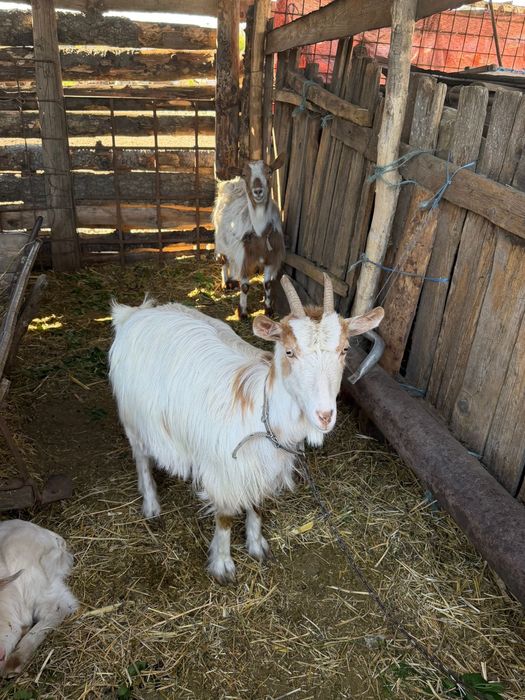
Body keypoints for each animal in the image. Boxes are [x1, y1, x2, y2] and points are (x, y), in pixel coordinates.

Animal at [108, 275, 384, 583]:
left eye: (344, 349)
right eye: (289, 352)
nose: (324, 416)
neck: (262, 415)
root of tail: (134, 313)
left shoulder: (265, 468)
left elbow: (258, 504)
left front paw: (256, 545)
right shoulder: (223, 473)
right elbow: (225, 517)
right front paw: (223, 565)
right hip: (133, 417)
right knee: (141, 458)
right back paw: (152, 506)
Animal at [213, 154, 286, 319]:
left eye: (269, 171)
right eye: (245, 174)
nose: (258, 191)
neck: (259, 233)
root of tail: (233, 183)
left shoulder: (270, 258)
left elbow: (267, 284)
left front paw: (268, 310)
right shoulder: (244, 257)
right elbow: (245, 286)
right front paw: (243, 312)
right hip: (221, 241)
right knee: (224, 261)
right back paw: (225, 283)